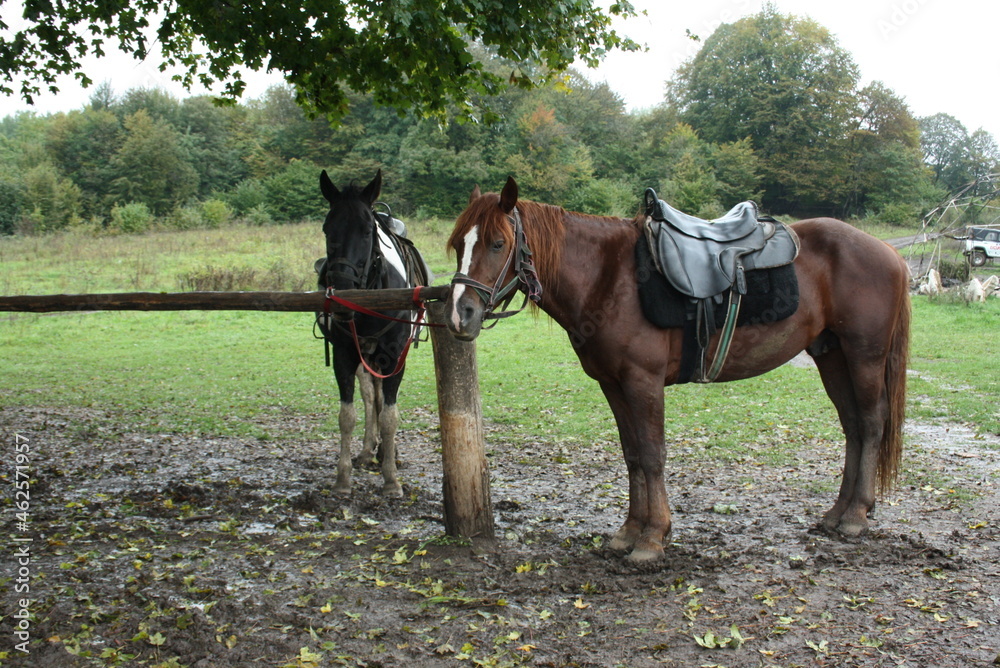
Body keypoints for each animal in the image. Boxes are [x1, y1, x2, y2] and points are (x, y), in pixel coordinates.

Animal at [312, 171, 422, 496]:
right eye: (327, 228)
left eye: (366, 231)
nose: (342, 289)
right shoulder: (344, 356)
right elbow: (347, 415)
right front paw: (342, 478)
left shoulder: (395, 356)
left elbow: (390, 417)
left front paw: (391, 480)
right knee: (370, 396)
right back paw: (366, 451)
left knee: (381, 400)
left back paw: (388, 453)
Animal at [442, 175, 912, 560]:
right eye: (459, 244)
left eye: (498, 243)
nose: (460, 315)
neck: (607, 278)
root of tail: (888, 251)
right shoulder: (613, 384)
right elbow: (632, 454)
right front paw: (629, 532)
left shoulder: (643, 381)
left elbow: (652, 455)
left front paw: (653, 538)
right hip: (832, 356)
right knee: (853, 427)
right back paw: (837, 513)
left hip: (864, 356)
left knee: (871, 423)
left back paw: (856, 516)